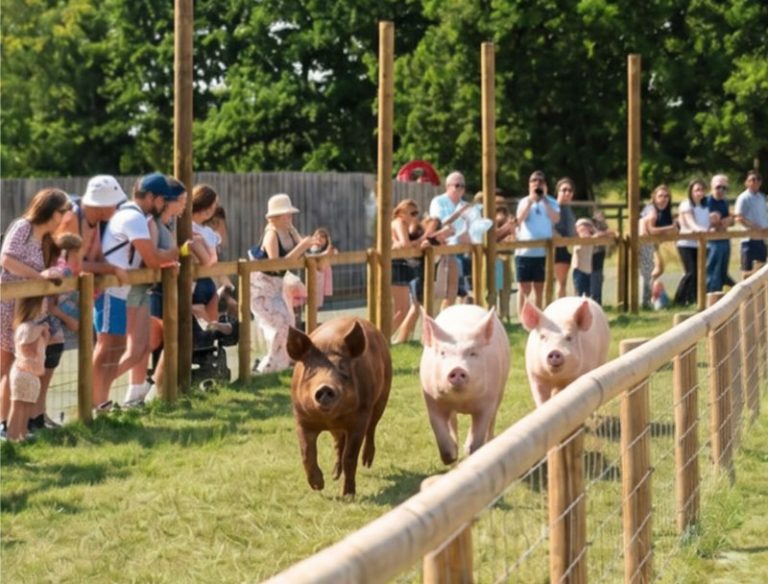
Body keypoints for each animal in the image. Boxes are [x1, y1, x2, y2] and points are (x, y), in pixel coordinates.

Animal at [286, 316, 392, 496]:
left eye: (342, 369)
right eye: (311, 371)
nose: (325, 388)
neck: (330, 419)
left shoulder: (359, 417)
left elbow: (350, 456)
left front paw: (348, 496)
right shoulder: (301, 418)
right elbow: (306, 453)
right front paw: (318, 486)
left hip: (382, 396)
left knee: (372, 428)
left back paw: (366, 463)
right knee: (338, 443)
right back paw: (334, 475)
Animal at [420, 305, 510, 465]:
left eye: (473, 353)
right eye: (443, 353)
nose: (457, 369)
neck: (461, 401)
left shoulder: (487, 402)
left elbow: (478, 434)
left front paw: (470, 452)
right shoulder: (432, 400)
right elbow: (438, 428)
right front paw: (451, 458)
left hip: (500, 390)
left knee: (492, 419)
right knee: (453, 420)